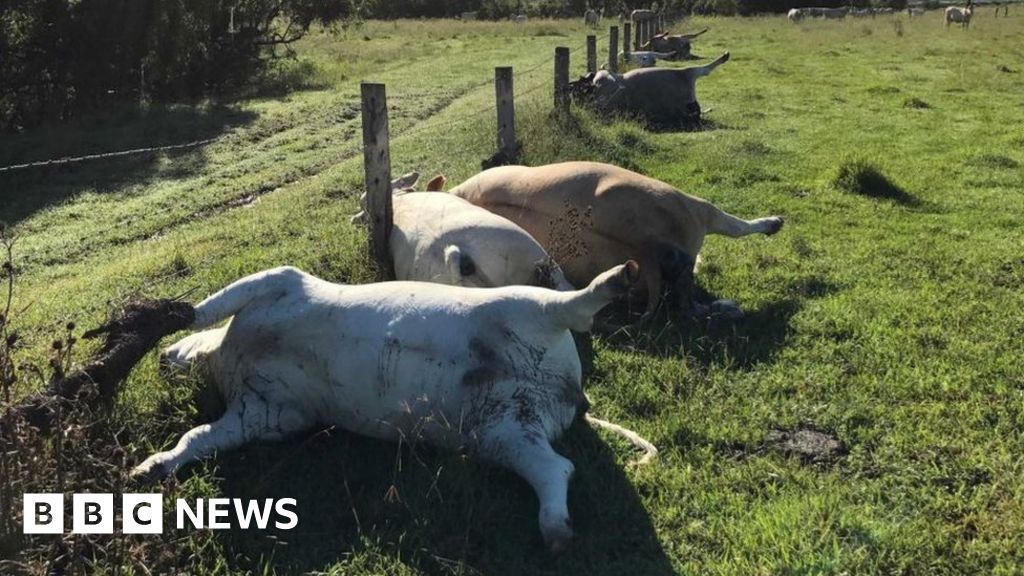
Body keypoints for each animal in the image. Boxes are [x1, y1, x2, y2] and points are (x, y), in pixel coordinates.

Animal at [134, 262, 647, 549]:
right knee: (555, 468)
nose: (161, 359)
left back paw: (619, 277)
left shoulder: (279, 281)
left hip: (525, 306)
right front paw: (149, 470)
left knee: (573, 306)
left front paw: (159, 319)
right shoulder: (269, 415)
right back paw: (556, 532)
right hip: (506, 431)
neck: (229, 354)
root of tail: (570, 389)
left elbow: (207, 308)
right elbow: (197, 437)